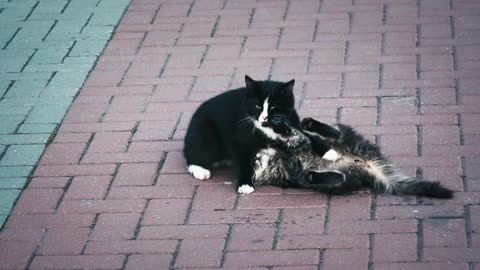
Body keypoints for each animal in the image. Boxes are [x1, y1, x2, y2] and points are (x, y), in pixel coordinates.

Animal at [253, 117, 456, 199]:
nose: (256, 160)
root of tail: (365, 163)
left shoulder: (294, 140)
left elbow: (292, 137)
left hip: (344, 139)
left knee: (335, 133)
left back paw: (312, 125)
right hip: (339, 181)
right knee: (336, 179)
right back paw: (313, 175)